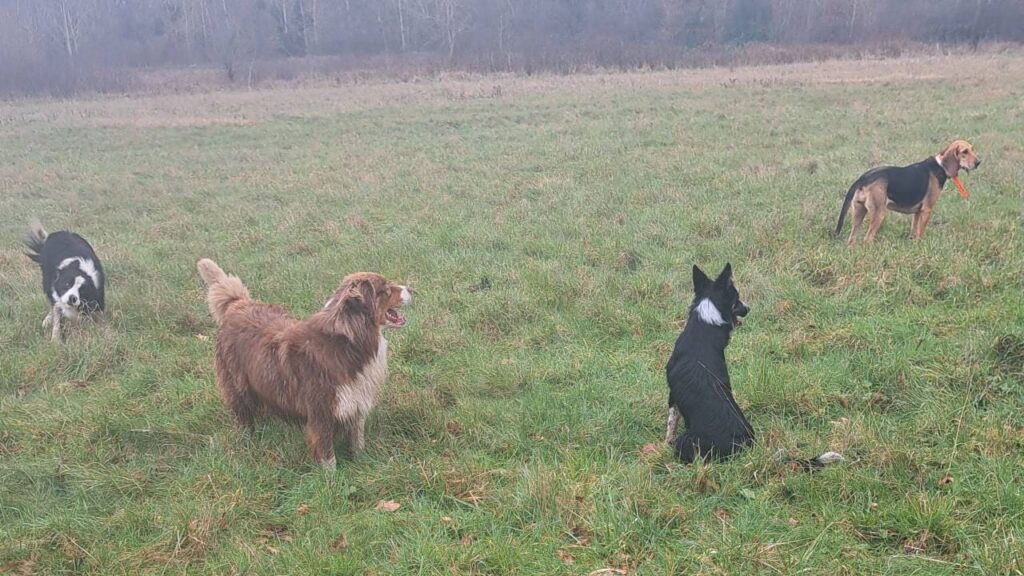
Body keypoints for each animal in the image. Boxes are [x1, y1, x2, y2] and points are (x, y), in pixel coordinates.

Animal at [197, 258, 409, 469]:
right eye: (385, 289)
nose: (411, 289)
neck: (347, 342)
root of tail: (238, 303)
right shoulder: (320, 411)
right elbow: (327, 454)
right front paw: (332, 477)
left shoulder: (355, 402)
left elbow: (358, 440)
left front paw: (364, 463)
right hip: (237, 387)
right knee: (243, 416)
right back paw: (248, 441)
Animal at [663, 262, 839, 469]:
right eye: (737, 299)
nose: (748, 308)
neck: (705, 324)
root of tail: (747, 447)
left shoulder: (672, 394)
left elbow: (671, 420)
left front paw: (666, 441)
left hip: (687, 440)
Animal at [835, 141, 978, 247]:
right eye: (964, 152)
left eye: (972, 149)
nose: (978, 163)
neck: (941, 165)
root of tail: (863, 178)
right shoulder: (926, 210)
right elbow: (921, 232)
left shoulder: (917, 212)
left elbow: (914, 231)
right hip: (879, 214)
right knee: (867, 240)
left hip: (858, 213)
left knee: (851, 240)